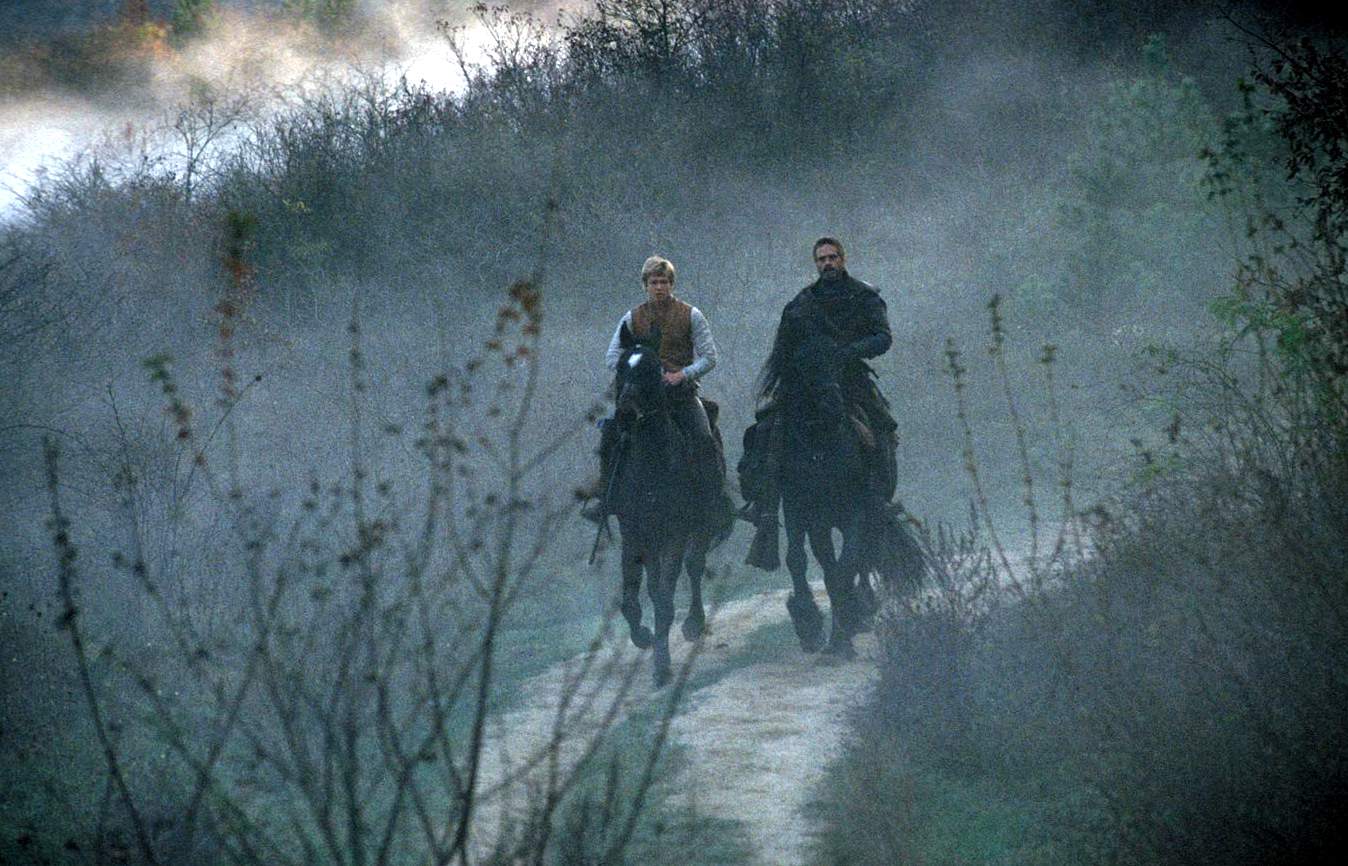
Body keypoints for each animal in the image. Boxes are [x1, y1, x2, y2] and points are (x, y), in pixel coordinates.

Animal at [611, 321, 733, 685]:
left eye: (653, 369)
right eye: (621, 366)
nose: (625, 413)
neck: (653, 465)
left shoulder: (675, 534)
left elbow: (664, 598)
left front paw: (662, 666)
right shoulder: (635, 533)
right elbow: (635, 598)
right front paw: (644, 636)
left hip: (702, 522)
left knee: (694, 566)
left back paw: (693, 623)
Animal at [760, 322, 927, 652]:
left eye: (837, 362)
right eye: (802, 366)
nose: (832, 405)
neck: (819, 445)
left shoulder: (856, 510)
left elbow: (848, 563)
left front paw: (841, 633)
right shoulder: (801, 510)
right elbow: (801, 561)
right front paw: (809, 623)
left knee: (860, 557)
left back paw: (861, 608)